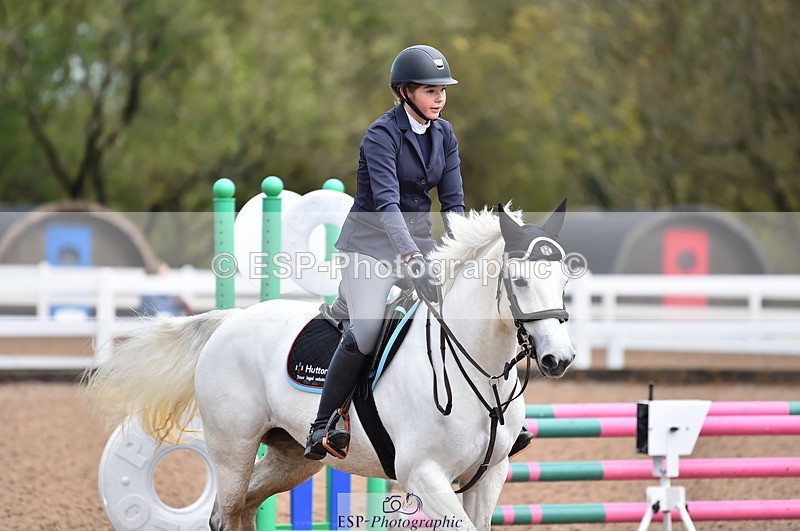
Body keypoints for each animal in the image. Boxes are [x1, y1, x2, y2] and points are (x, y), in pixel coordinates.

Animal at [84, 202, 576, 531]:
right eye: (519, 280)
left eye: (565, 278)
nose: (560, 359)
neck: (480, 374)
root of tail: (231, 320)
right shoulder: (424, 474)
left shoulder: (489, 475)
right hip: (233, 448)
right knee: (228, 512)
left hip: (291, 457)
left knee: (244, 508)